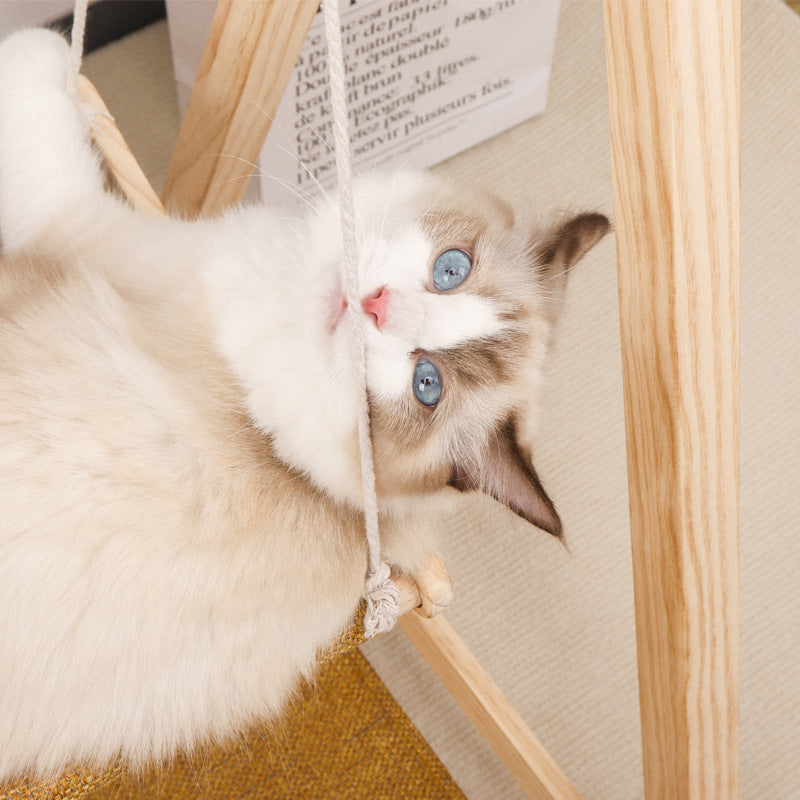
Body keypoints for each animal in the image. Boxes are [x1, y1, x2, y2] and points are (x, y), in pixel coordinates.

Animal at [0, 29, 608, 780]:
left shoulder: (93, 233)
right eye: (451, 269)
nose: (374, 305)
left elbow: (45, 134)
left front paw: (41, 49)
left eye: (427, 385)